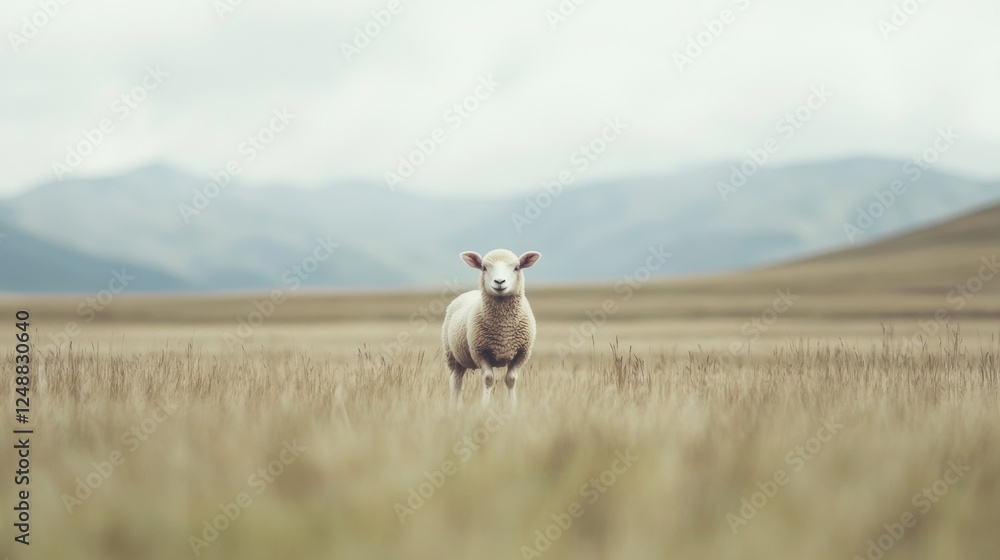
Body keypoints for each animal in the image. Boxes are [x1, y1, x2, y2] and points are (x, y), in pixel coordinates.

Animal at [442, 249, 541, 408]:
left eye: (516, 268)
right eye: (484, 268)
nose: (499, 282)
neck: (504, 328)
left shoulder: (522, 353)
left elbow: (511, 380)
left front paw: (512, 407)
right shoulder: (480, 352)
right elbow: (488, 379)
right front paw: (485, 406)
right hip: (452, 355)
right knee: (455, 381)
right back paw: (453, 406)